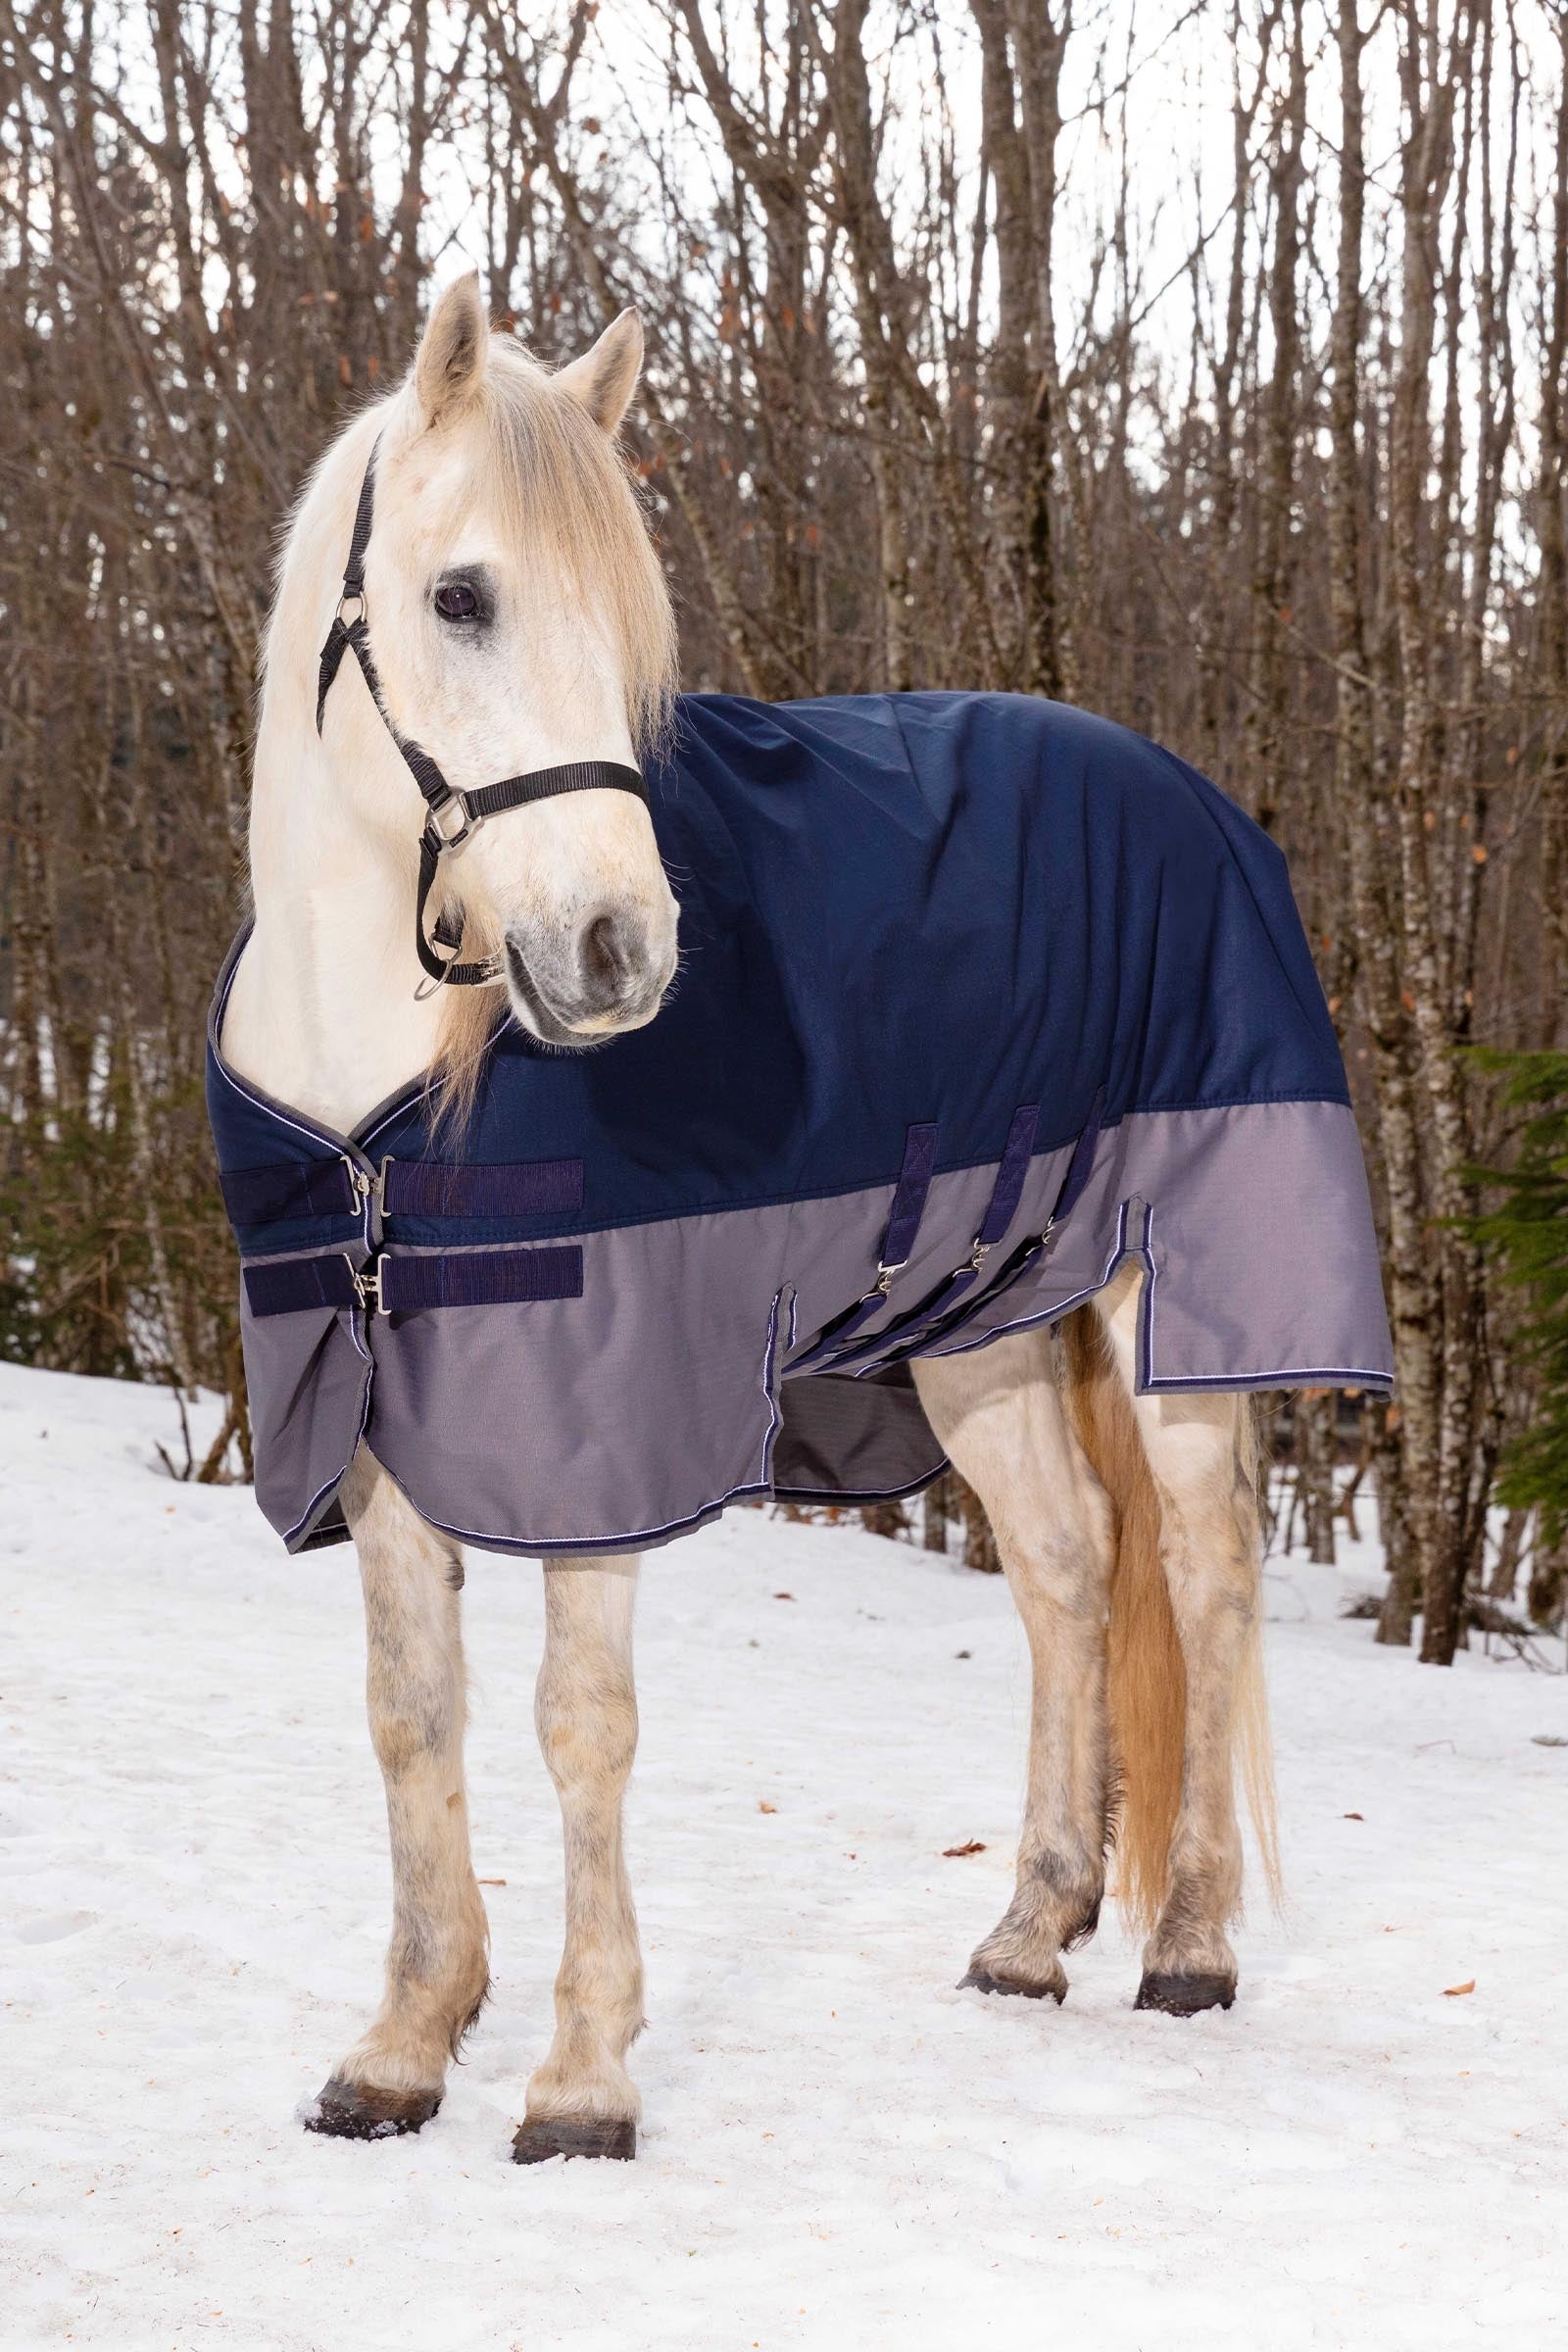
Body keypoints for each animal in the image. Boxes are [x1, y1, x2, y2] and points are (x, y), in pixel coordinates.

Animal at [220, 272, 1290, 2163]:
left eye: (631, 627)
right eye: (462, 596)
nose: (617, 953)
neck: (389, 1090)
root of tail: (1186, 793)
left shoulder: (598, 1437)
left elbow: (581, 1725)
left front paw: (581, 2077)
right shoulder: (380, 1398)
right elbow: (413, 1717)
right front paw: (406, 2044)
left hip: (1171, 1315)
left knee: (1208, 1573)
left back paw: (1189, 1949)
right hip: (982, 1326)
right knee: (1069, 1570)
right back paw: (1031, 1929)